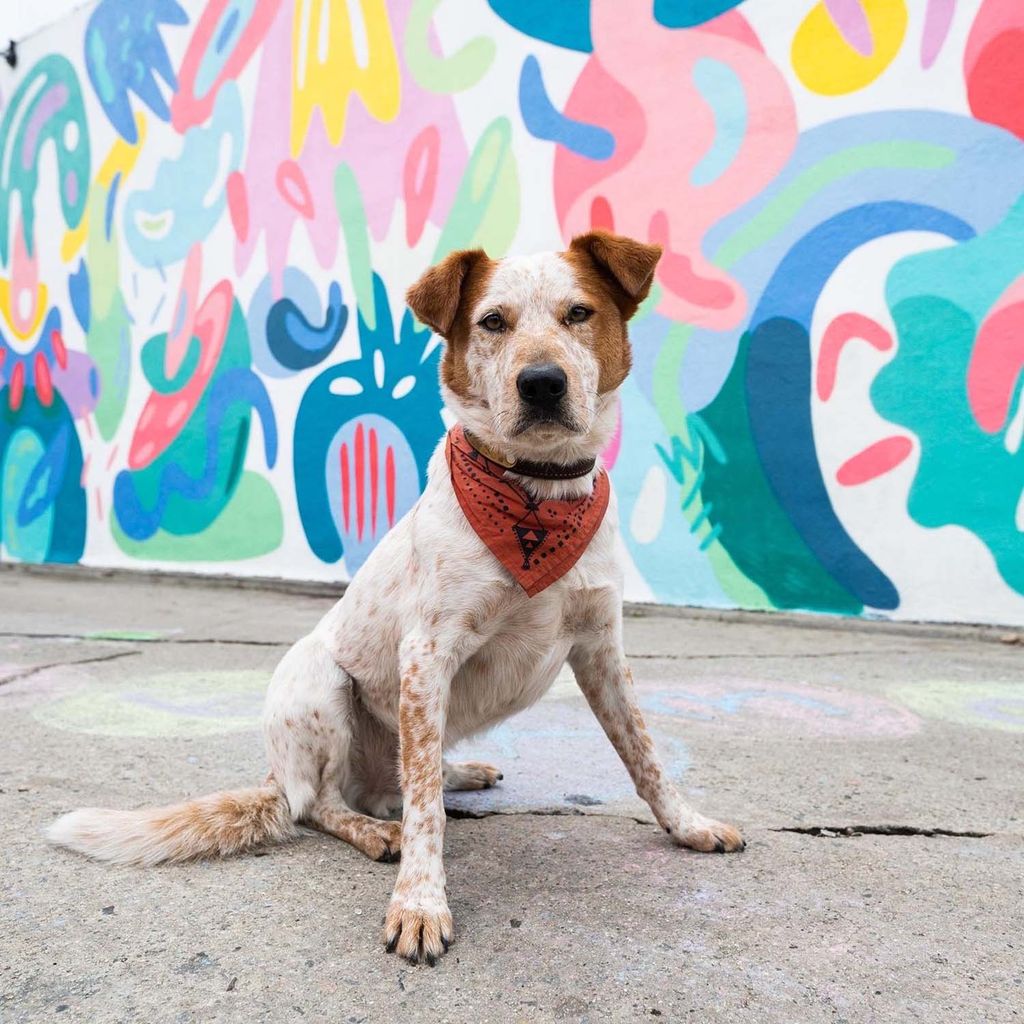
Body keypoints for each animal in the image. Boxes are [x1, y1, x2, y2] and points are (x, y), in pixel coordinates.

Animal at [48, 228, 745, 962]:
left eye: (579, 313)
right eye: (492, 322)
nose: (541, 383)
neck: (537, 494)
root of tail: (277, 775)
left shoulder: (602, 650)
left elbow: (646, 757)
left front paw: (688, 825)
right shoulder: (427, 654)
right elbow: (425, 816)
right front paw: (419, 903)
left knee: (411, 776)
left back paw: (457, 772)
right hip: (317, 681)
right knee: (331, 803)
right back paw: (377, 828)